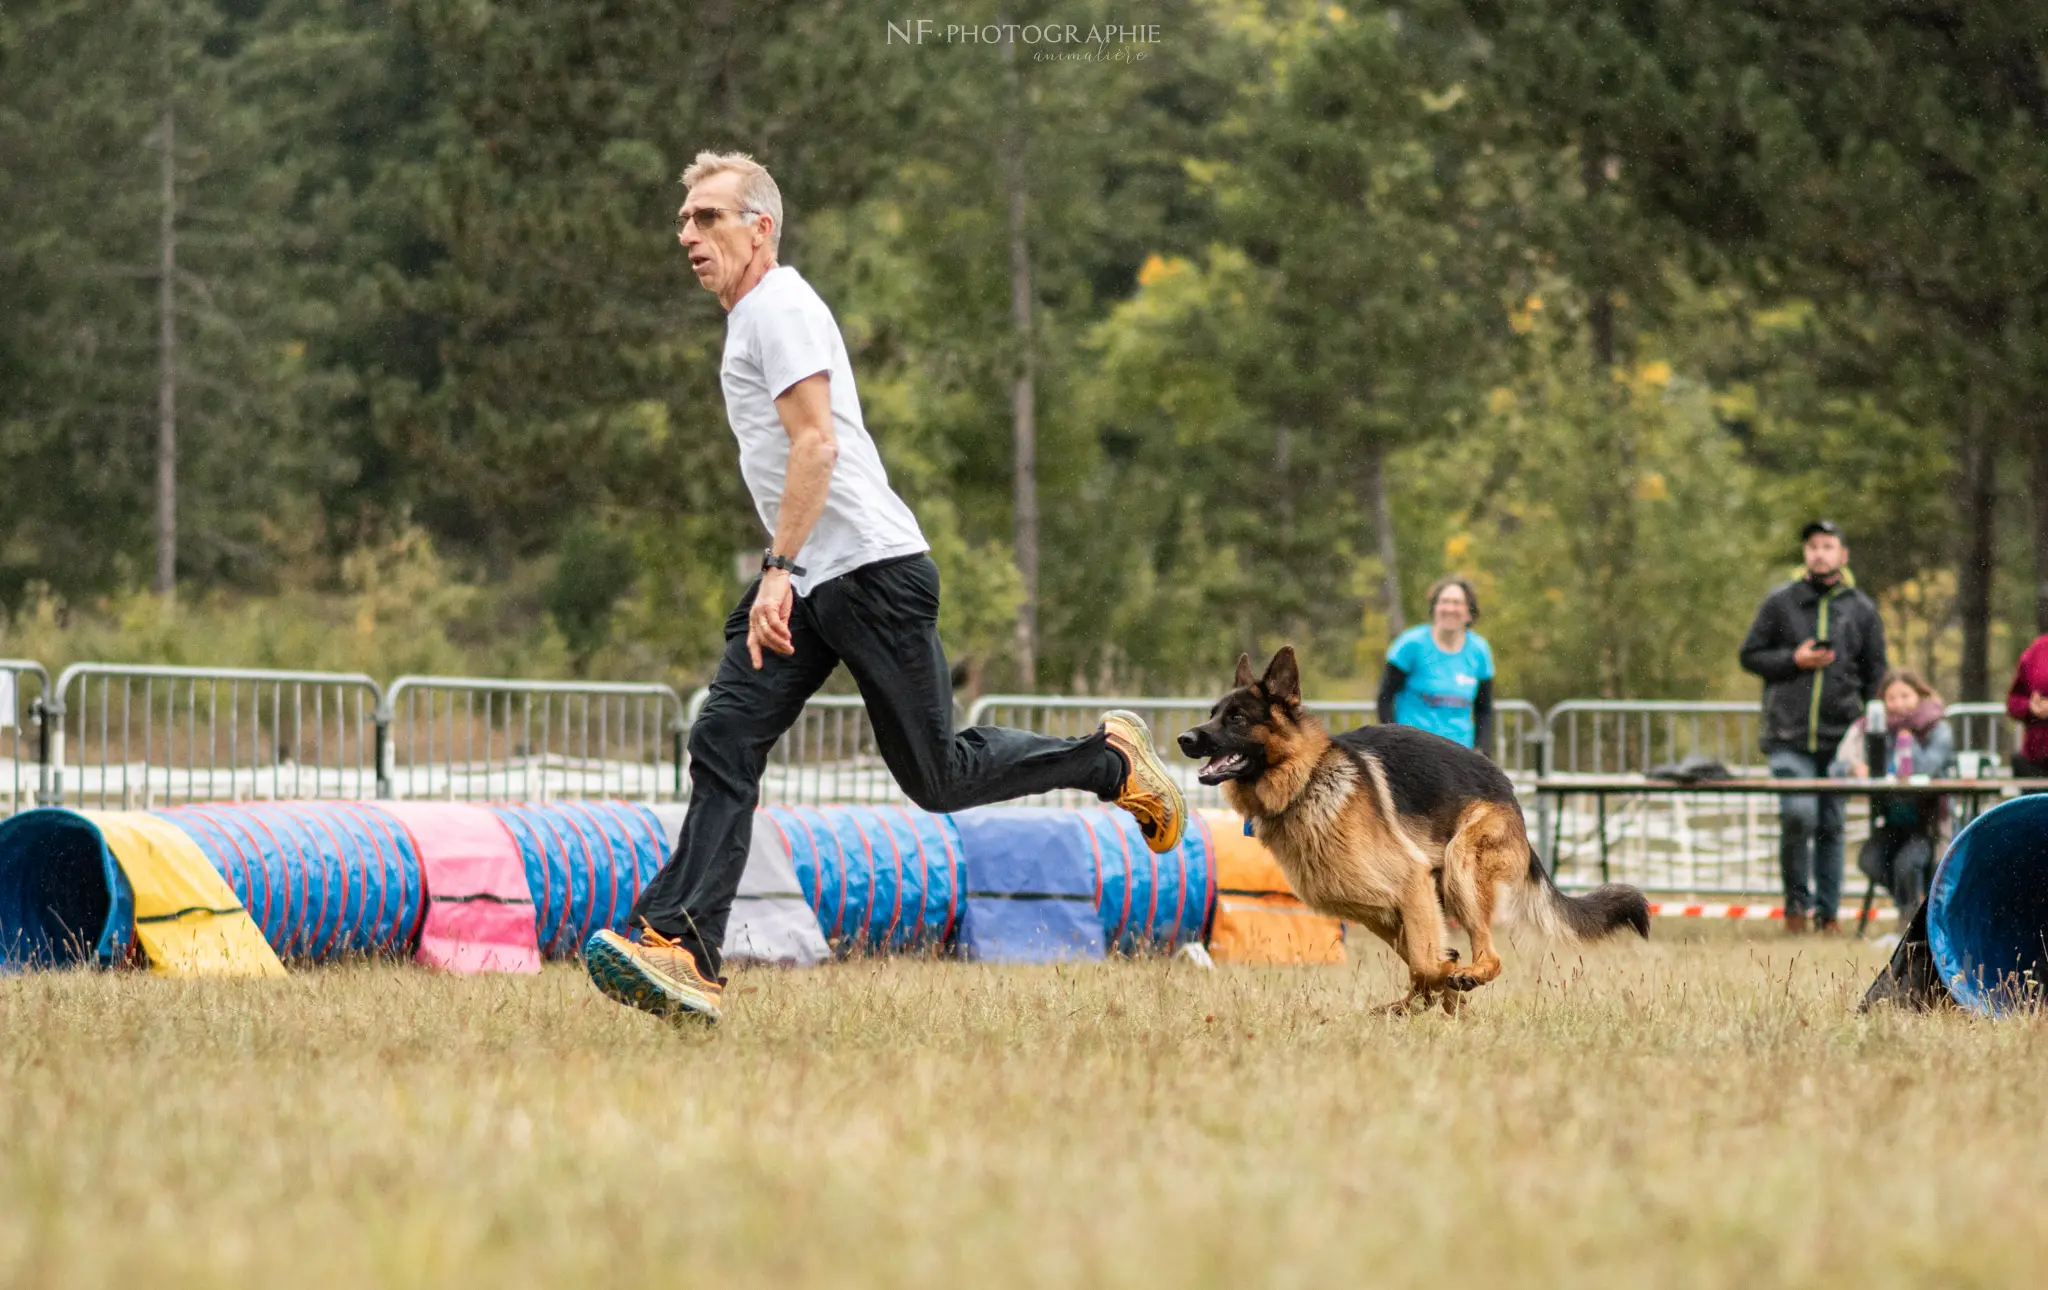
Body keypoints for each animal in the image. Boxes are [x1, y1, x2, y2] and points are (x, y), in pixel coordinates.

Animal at [1179, 651, 1638, 1015]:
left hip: (1460, 866)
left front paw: (1446, 980)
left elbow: (1425, 964)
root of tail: (1509, 790)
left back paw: (1462, 978)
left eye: (1237, 718)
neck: (1305, 781)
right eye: (1213, 713)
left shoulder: (1411, 886)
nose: (1184, 738)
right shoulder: (1378, 911)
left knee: (1491, 956)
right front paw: (1439, 995)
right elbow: (1423, 965)